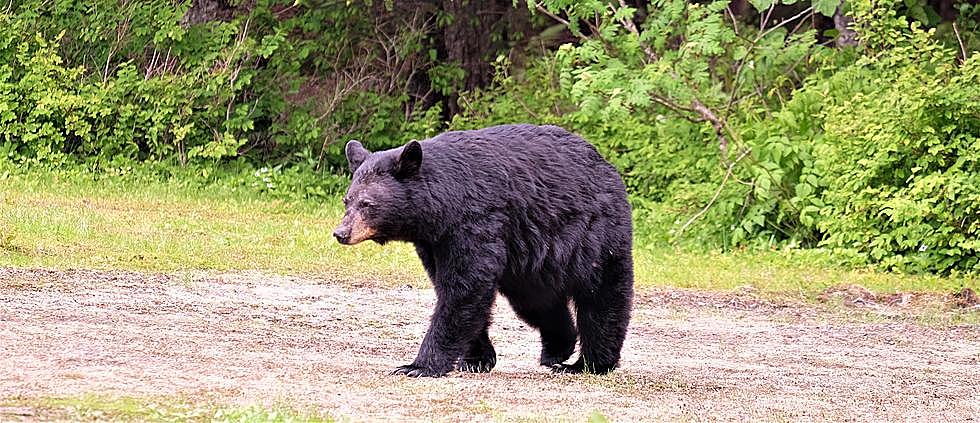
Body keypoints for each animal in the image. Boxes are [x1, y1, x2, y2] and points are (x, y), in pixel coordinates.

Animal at [334, 123, 632, 378]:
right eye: (347, 200)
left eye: (367, 204)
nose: (341, 233)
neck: (443, 206)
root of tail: (607, 166)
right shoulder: (434, 242)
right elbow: (452, 288)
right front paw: (477, 359)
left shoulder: (475, 222)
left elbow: (465, 287)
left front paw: (418, 365)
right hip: (530, 262)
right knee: (538, 302)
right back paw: (557, 349)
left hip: (594, 234)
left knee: (602, 296)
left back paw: (591, 363)